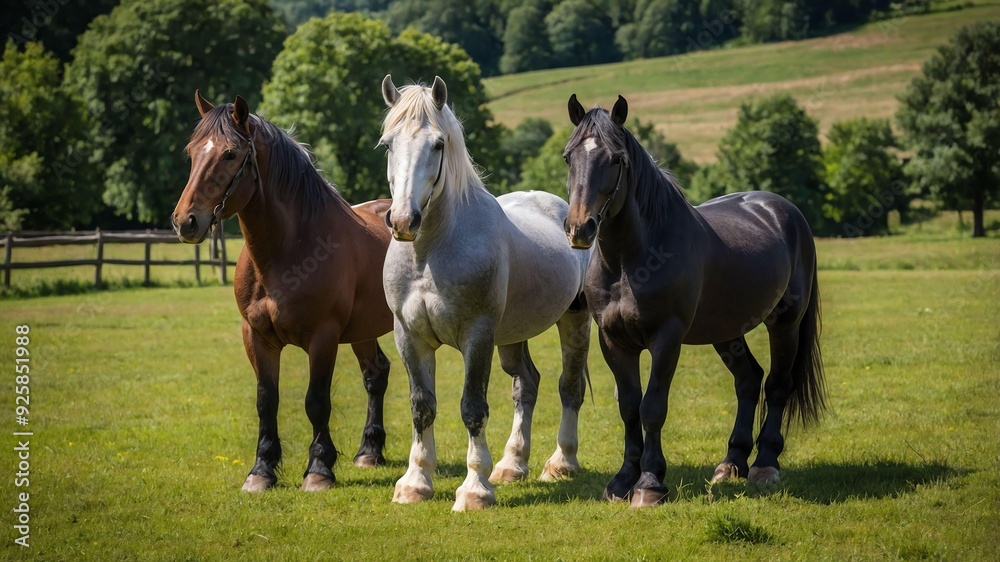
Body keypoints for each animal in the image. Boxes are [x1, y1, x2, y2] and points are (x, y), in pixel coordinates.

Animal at [171, 92, 394, 492]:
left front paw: (319, 470)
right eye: (192, 152)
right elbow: (266, 400)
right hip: (363, 331)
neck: (286, 249)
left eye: (230, 154)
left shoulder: (323, 337)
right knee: (375, 374)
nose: (186, 222)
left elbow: (316, 401)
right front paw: (261, 470)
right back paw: (369, 452)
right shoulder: (256, 336)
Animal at [378, 75, 594, 511]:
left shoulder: (476, 337)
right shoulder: (409, 337)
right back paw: (512, 465)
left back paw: (561, 463)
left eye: (438, 144)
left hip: (574, 321)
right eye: (389, 143)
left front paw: (474, 490)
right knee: (526, 384)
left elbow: (472, 409)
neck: (431, 251)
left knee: (569, 387)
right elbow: (421, 407)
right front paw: (415, 483)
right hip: (511, 338)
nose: (404, 220)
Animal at [562, 95, 827, 507]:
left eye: (617, 159)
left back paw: (765, 465)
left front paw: (650, 483)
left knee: (777, 385)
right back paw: (731, 464)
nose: (579, 228)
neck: (630, 262)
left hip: (786, 323)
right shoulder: (613, 341)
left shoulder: (666, 339)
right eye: (568, 157)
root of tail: (782, 209)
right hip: (727, 330)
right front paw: (622, 481)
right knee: (748, 380)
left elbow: (652, 407)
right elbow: (629, 407)